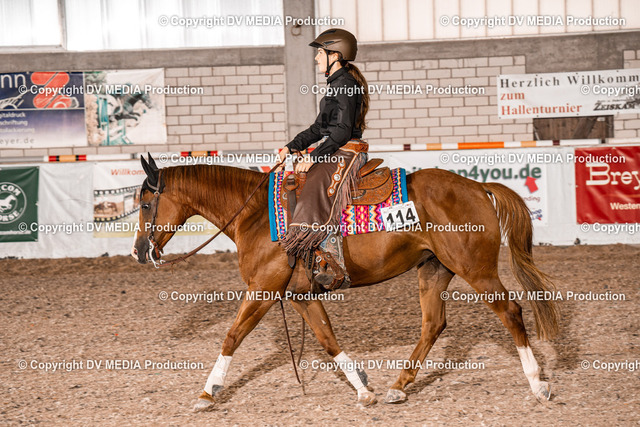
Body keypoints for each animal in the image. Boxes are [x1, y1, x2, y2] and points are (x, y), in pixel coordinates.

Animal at [131, 154, 559, 411]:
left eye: (146, 204)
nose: (139, 251)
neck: (253, 215)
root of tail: (478, 187)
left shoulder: (264, 289)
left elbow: (232, 336)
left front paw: (207, 392)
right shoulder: (300, 294)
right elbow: (327, 339)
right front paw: (364, 390)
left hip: (476, 270)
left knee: (510, 310)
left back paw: (538, 384)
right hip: (434, 269)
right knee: (433, 324)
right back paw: (399, 385)